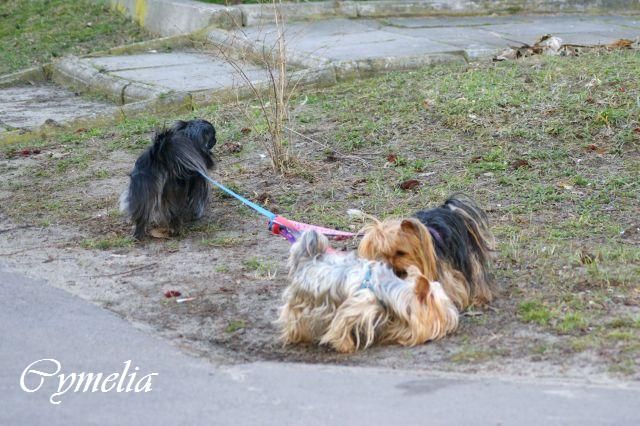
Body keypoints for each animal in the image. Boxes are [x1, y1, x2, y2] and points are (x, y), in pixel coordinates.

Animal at [279, 230, 459, 353]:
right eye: (445, 311)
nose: (453, 322)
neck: (386, 289)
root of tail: (309, 259)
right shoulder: (354, 309)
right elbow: (340, 326)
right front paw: (345, 346)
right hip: (303, 300)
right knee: (292, 315)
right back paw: (296, 335)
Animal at [358, 195, 495, 310]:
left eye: (401, 253)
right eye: (383, 255)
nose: (389, 266)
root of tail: (448, 208)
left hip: (465, 252)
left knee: (477, 272)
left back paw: (481, 297)